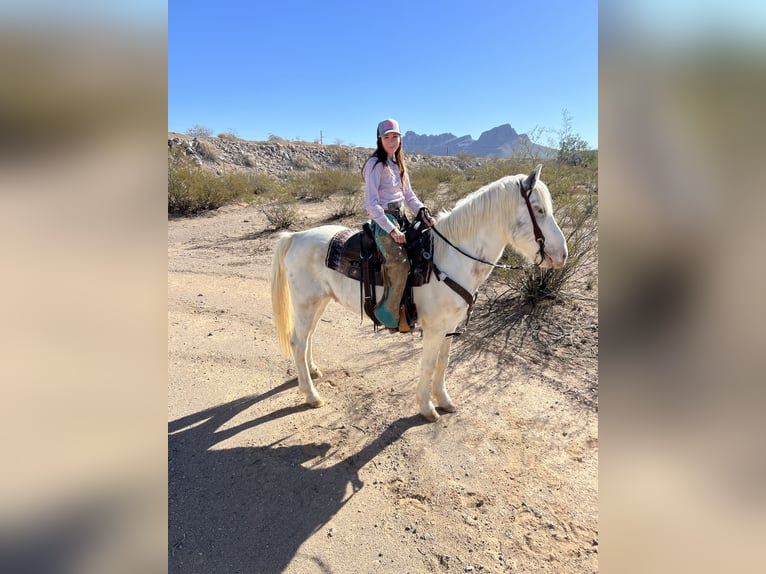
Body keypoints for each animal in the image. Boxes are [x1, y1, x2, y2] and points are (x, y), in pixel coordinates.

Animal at [272, 164, 568, 420]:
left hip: (318, 302)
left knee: (308, 337)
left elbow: (443, 362)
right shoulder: (435, 329)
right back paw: (311, 395)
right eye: (539, 210)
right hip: (305, 303)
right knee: (298, 342)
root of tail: (295, 237)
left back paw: (313, 372)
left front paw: (444, 400)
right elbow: (428, 364)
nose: (562, 255)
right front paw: (427, 407)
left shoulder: (450, 327)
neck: (450, 257)